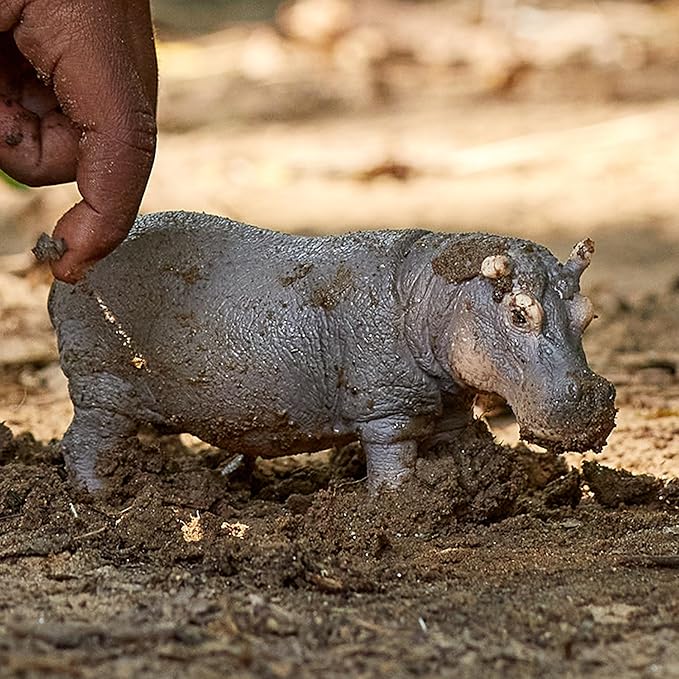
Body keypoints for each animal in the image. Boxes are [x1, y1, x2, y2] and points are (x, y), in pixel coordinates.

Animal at [47, 211, 616, 491]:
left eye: (589, 313)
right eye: (519, 313)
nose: (592, 398)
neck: (439, 290)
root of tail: (60, 260)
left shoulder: (450, 400)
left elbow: (458, 442)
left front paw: (470, 487)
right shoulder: (389, 408)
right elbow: (393, 460)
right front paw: (398, 507)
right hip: (103, 384)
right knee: (83, 441)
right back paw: (100, 496)